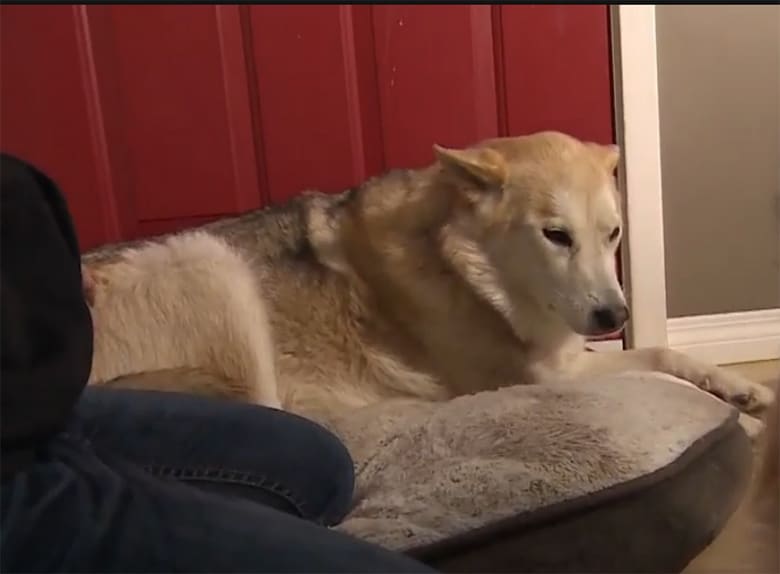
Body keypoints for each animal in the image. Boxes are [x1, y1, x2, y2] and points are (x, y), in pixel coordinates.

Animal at [82, 132, 776, 428]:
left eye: (613, 236)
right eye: (555, 235)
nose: (614, 316)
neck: (467, 269)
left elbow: (662, 351)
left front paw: (739, 386)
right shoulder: (545, 375)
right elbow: (653, 357)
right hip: (208, 262)